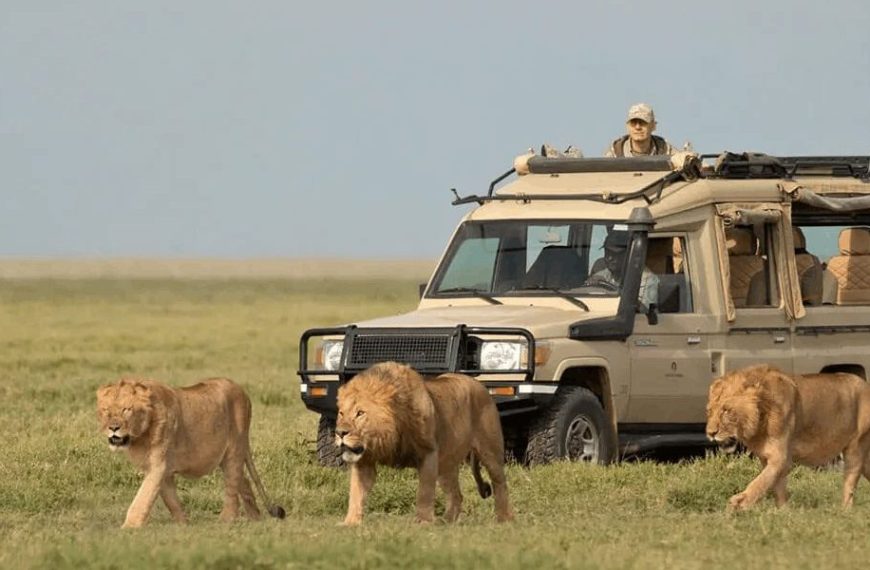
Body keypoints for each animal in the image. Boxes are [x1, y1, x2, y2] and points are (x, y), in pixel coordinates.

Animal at [96, 377, 285, 528]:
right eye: (106, 410)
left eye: (126, 409)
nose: (113, 428)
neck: (139, 436)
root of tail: (242, 391)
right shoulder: (162, 470)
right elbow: (171, 501)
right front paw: (183, 525)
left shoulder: (158, 465)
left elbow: (143, 497)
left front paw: (129, 528)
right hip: (227, 456)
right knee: (242, 479)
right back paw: (255, 518)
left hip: (234, 448)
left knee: (232, 485)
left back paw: (226, 521)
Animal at [334, 361, 514, 525]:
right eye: (341, 413)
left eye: (360, 413)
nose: (340, 433)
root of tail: (479, 384)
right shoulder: (364, 461)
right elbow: (356, 493)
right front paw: (350, 522)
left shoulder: (428, 453)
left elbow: (425, 492)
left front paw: (423, 522)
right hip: (446, 464)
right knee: (456, 495)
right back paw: (446, 522)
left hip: (490, 451)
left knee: (500, 483)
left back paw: (504, 519)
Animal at [706, 364, 870, 511]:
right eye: (709, 411)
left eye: (726, 411)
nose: (710, 433)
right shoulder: (766, 457)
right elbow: (776, 485)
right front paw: (783, 512)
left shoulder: (781, 457)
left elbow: (761, 482)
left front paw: (739, 503)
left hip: (856, 446)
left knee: (850, 482)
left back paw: (844, 511)